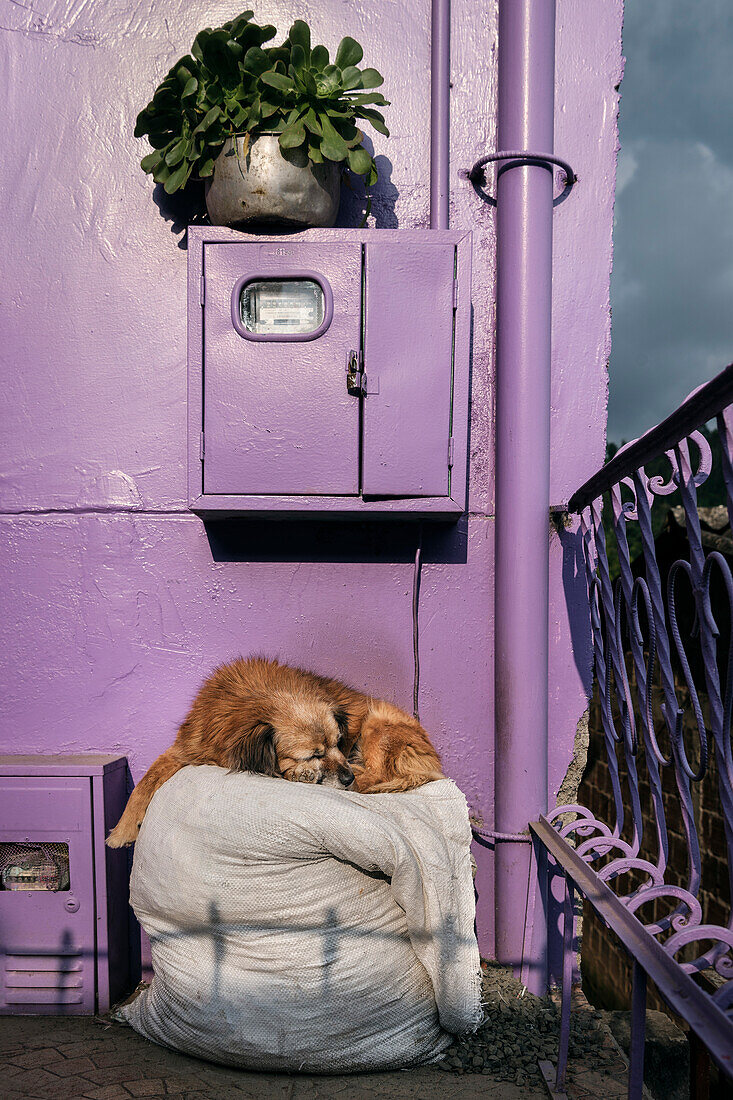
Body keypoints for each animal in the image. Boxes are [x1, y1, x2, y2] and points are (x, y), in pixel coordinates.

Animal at [105, 655, 442, 844]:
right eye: (314, 754)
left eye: (338, 744)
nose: (346, 777)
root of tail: (433, 760)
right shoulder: (185, 748)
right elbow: (144, 783)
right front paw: (122, 831)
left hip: (377, 724)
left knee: (377, 774)